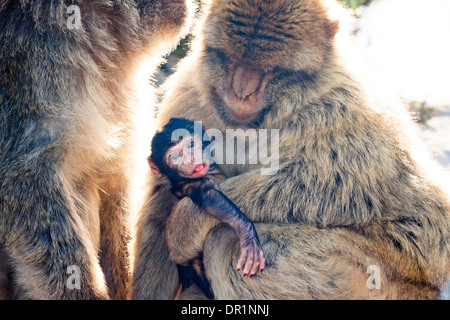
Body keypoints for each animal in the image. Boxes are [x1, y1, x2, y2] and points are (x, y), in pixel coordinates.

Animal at [149, 116, 266, 282]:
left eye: (191, 144)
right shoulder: (190, 184)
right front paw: (246, 232)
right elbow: (208, 196)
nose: (191, 159)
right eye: (176, 156)